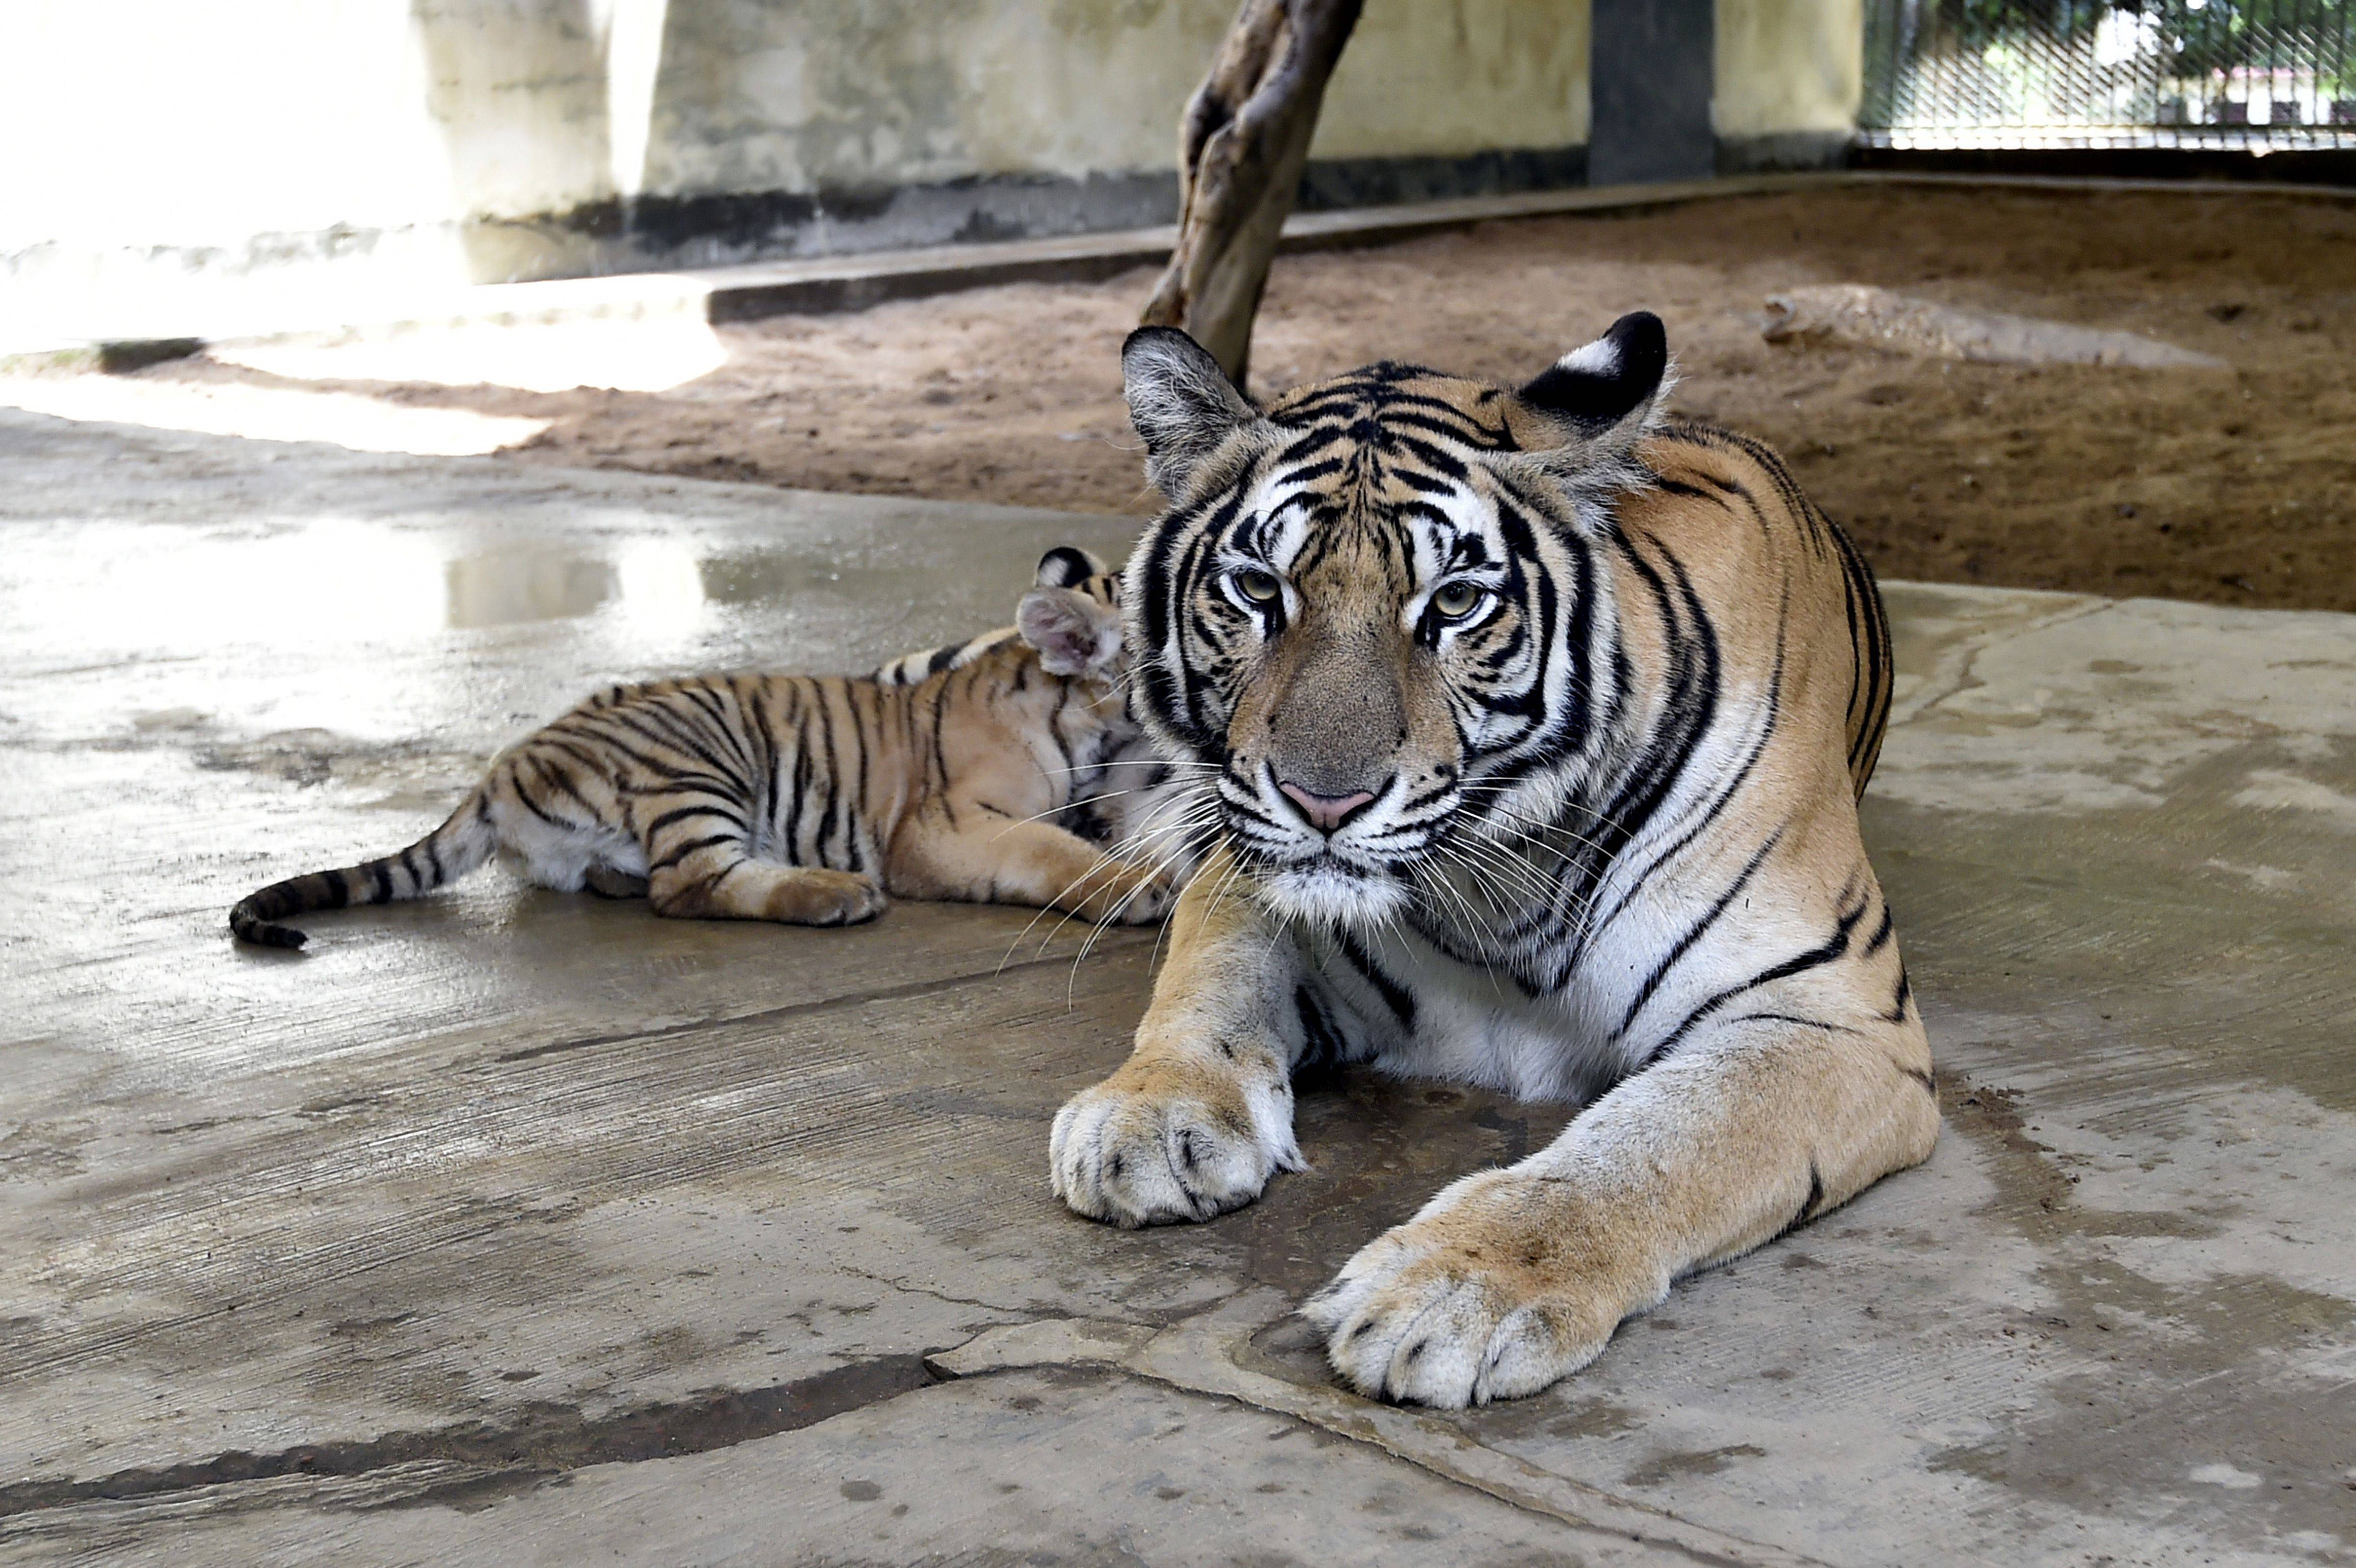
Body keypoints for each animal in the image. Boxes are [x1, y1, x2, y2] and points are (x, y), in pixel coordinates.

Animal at [1050, 315, 1932, 1403]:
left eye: (1458, 601)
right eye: (1258, 588)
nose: (1323, 799)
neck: (1496, 883)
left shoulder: (1826, 1014)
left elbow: (1654, 1144)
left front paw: (1453, 1293)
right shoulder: (1250, 870)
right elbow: (1210, 975)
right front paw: (1149, 1112)